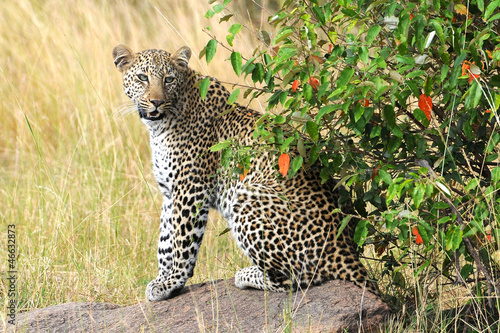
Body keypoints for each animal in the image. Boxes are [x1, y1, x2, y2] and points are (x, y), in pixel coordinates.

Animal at [112, 44, 378, 300]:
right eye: (142, 77)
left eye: (168, 79)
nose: (156, 102)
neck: (159, 126)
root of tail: (345, 251)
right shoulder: (171, 192)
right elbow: (165, 241)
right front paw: (161, 280)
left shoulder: (191, 190)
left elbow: (181, 241)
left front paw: (172, 282)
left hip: (248, 198)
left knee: (298, 277)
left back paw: (246, 275)